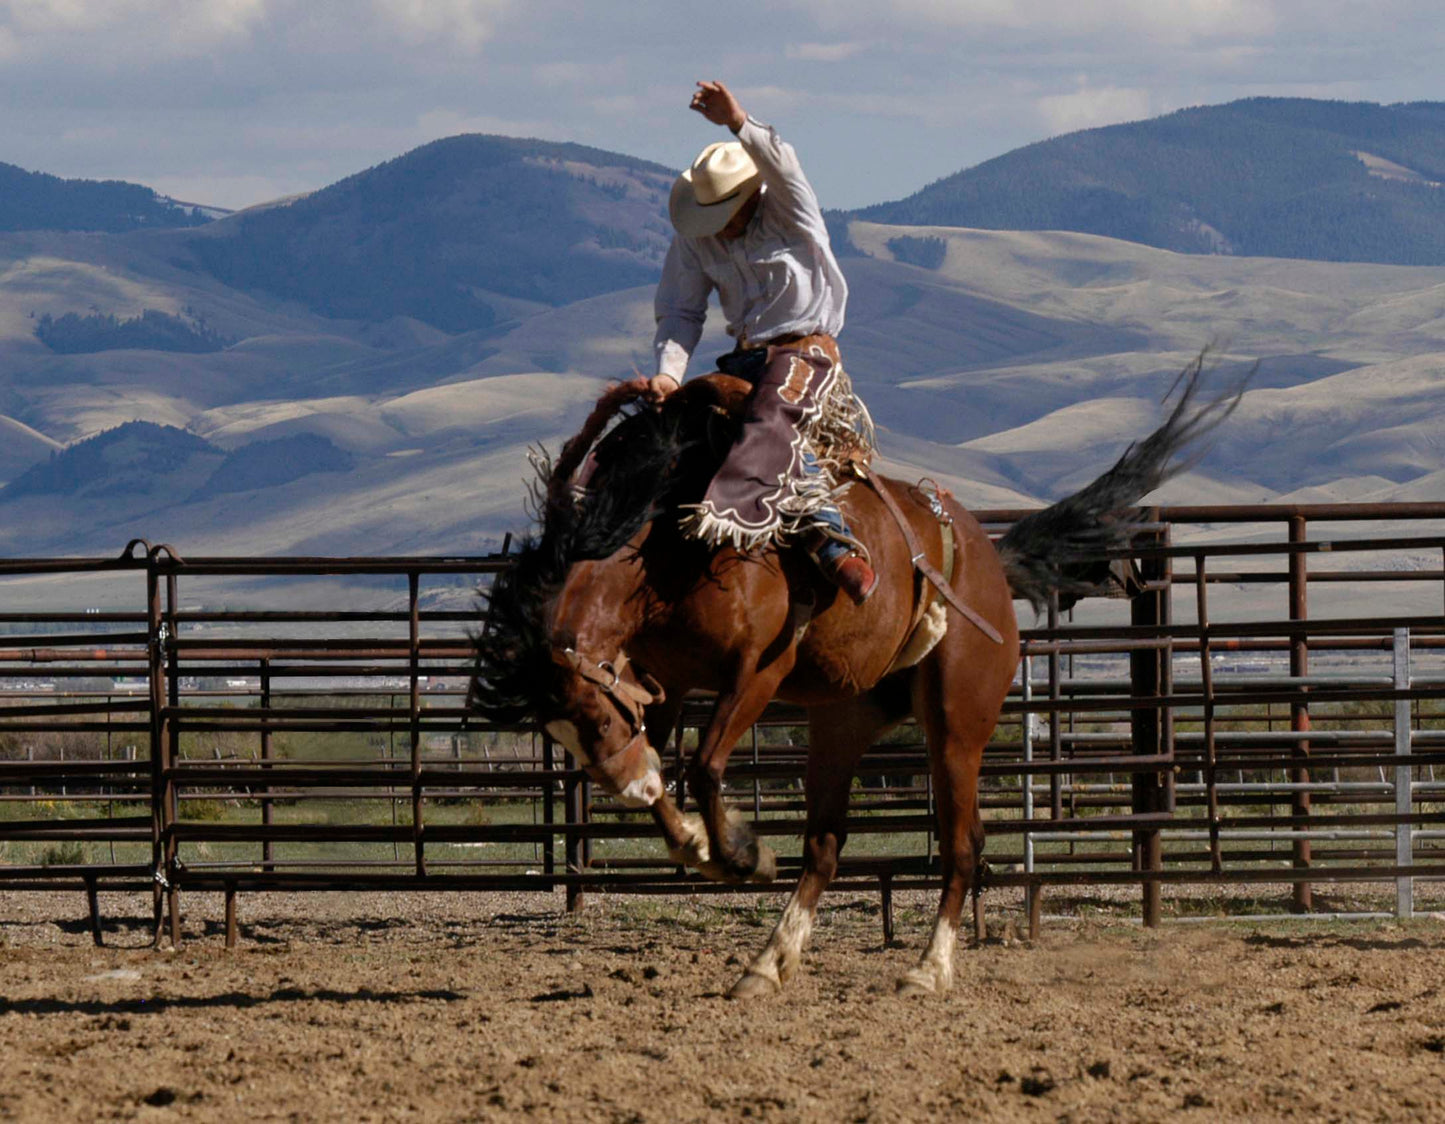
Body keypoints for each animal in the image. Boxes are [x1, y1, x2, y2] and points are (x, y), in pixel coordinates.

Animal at [468, 355, 1236, 993]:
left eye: (593, 718)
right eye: (561, 732)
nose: (625, 784)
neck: (668, 538)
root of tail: (990, 559)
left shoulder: (758, 671)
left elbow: (706, 765)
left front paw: (739, 854)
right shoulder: (667, 681)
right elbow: (669, 763)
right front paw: (695, 841)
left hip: (956, 724)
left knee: (960, 847)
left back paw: (927, 969)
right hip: (842, 721)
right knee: (826, 848)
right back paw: (767, 963)